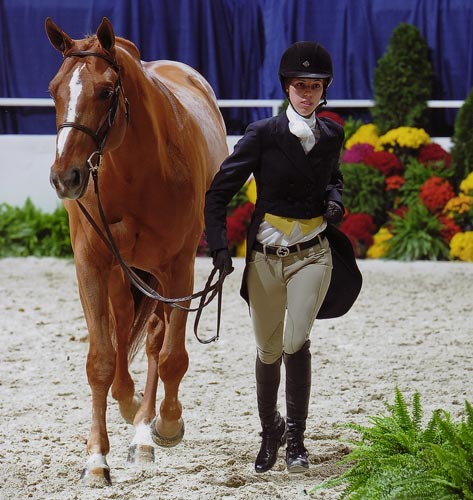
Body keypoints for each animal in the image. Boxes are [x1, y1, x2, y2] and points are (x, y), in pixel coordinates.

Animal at [44, 17, 227, 486]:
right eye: (54, 89)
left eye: (106, 91)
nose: (65, 177)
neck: (137, 174)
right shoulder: (92, 265)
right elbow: (101, 361)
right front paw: (96, 460)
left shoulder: (179, 270)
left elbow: (171, 357)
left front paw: (167, 424)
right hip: (124, 275)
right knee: (126, 331)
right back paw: (129, 410)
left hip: (159, 277)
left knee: (156, 343)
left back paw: (146, 431)